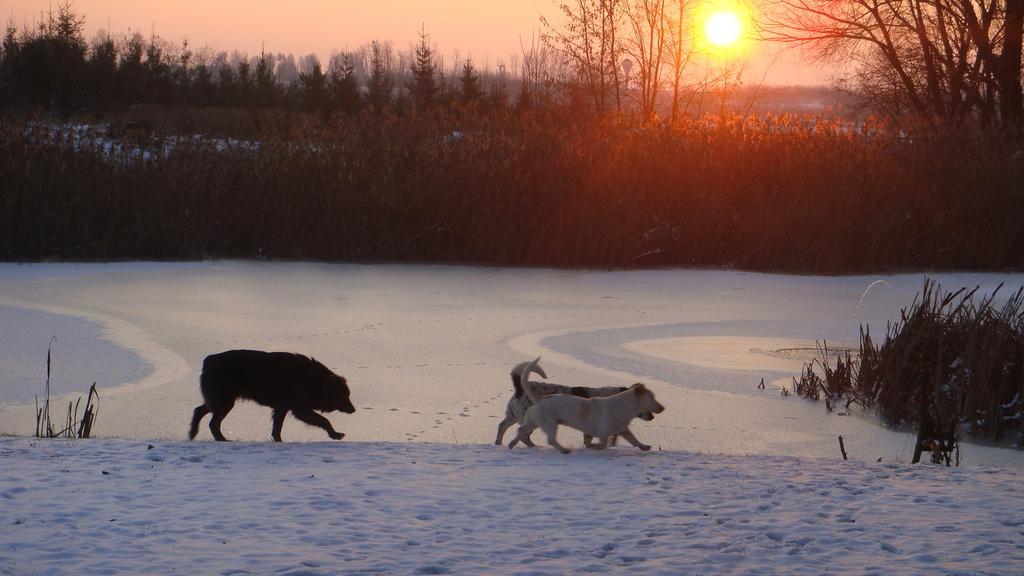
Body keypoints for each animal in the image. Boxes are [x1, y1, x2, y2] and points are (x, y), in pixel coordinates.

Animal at [188, 350, 356, 438]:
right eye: (344, 395)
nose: (354, 410)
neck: (315, 380)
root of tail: (208, 360)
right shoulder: (299, 409)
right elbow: (324, 420)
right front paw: (334, 434)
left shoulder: (283, 408)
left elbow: (277, 428)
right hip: (225, 402)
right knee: (213, 423)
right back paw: (222, 440)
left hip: (219, 401)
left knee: (198, 410)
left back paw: (192, 433)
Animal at [509, 354, 667, 453]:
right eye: (652, 398)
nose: (663, 408)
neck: (624, 407)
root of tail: (540, 398)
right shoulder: (603, 433)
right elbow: (602, 445)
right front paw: (594, 447)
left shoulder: (623, 430)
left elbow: (634, 440)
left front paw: (644, 447)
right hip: (550, 423)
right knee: (550, 440)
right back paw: (564, 450)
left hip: (534, 422)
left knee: (521, 431)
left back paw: (512, 444)